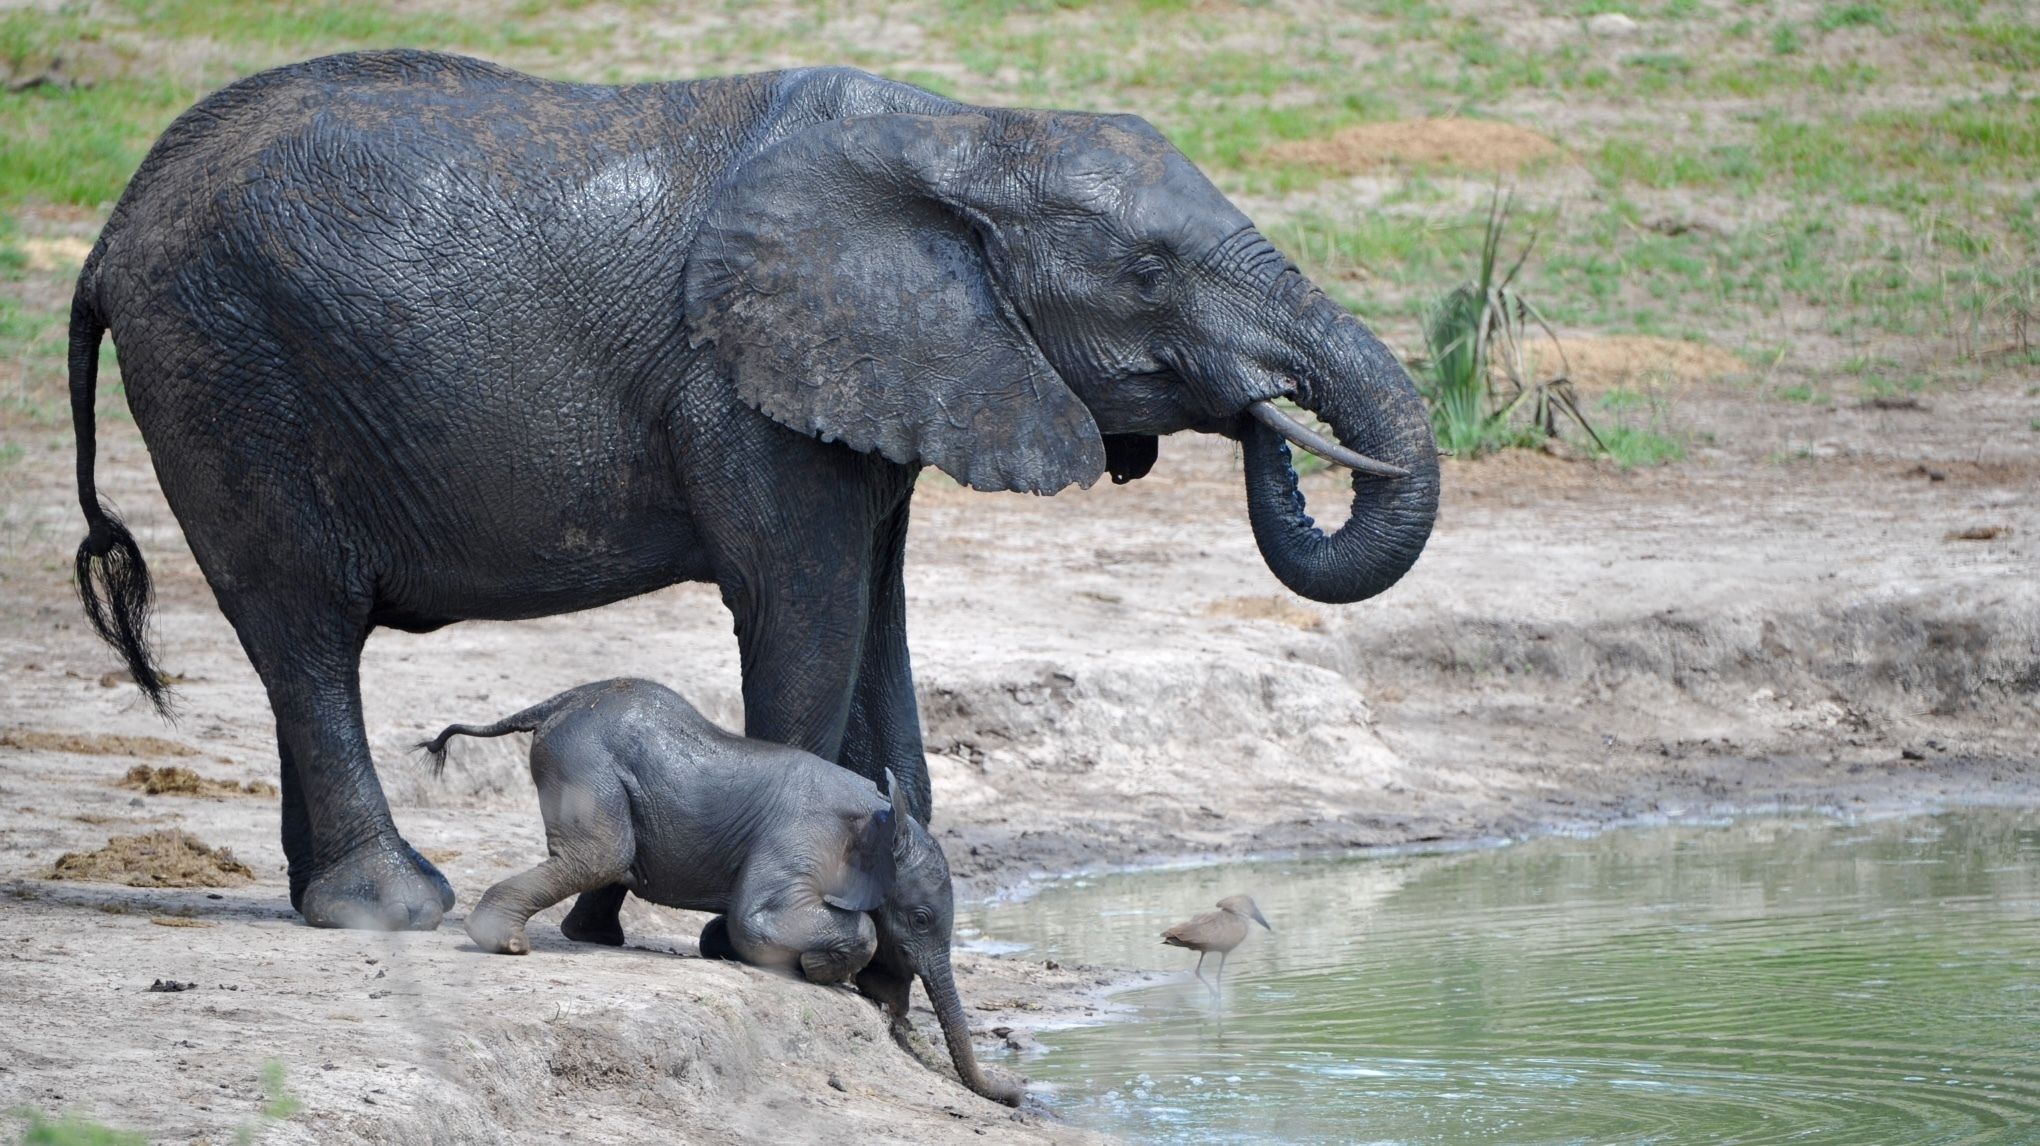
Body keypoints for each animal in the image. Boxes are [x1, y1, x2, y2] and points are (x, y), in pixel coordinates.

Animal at [68, 50, 1440, 932]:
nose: (1268, 412)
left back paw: (321, 899)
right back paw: (389, 910)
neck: (965, 134)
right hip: (228, 372)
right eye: (1149, 274)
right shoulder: (740, 388)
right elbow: (806, 619)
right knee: (305, 630)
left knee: (290, 647)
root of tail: (109, 234)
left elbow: (878, 627)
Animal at [420, 677, 1022, 1106]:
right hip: (584, 764)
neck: (879, 813)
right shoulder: (802, 837)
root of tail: (557, 703)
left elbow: (735, 924)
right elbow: (755, 920)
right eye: (920, 919)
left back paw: (585, 936)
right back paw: (504, 943)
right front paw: (825, 973)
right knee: (602, 855)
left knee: (606, 862)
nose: (1016, 1090)